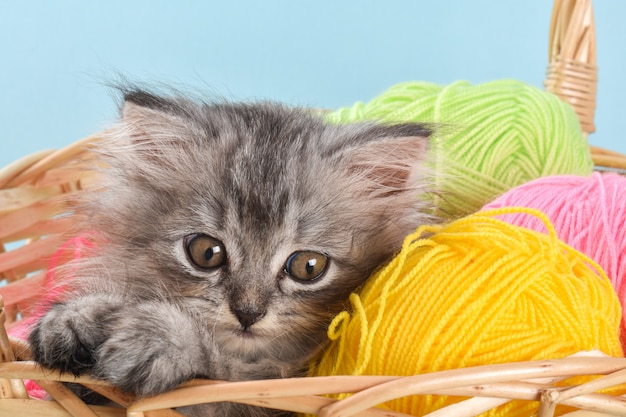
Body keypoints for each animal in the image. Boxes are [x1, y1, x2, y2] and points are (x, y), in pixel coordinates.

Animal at [28, 88, 434, 416]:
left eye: (308, 266)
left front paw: (161, 337)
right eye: (206, 253)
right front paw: (81, 315)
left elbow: (216, 365)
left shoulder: (263, 391)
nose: (248, 313)